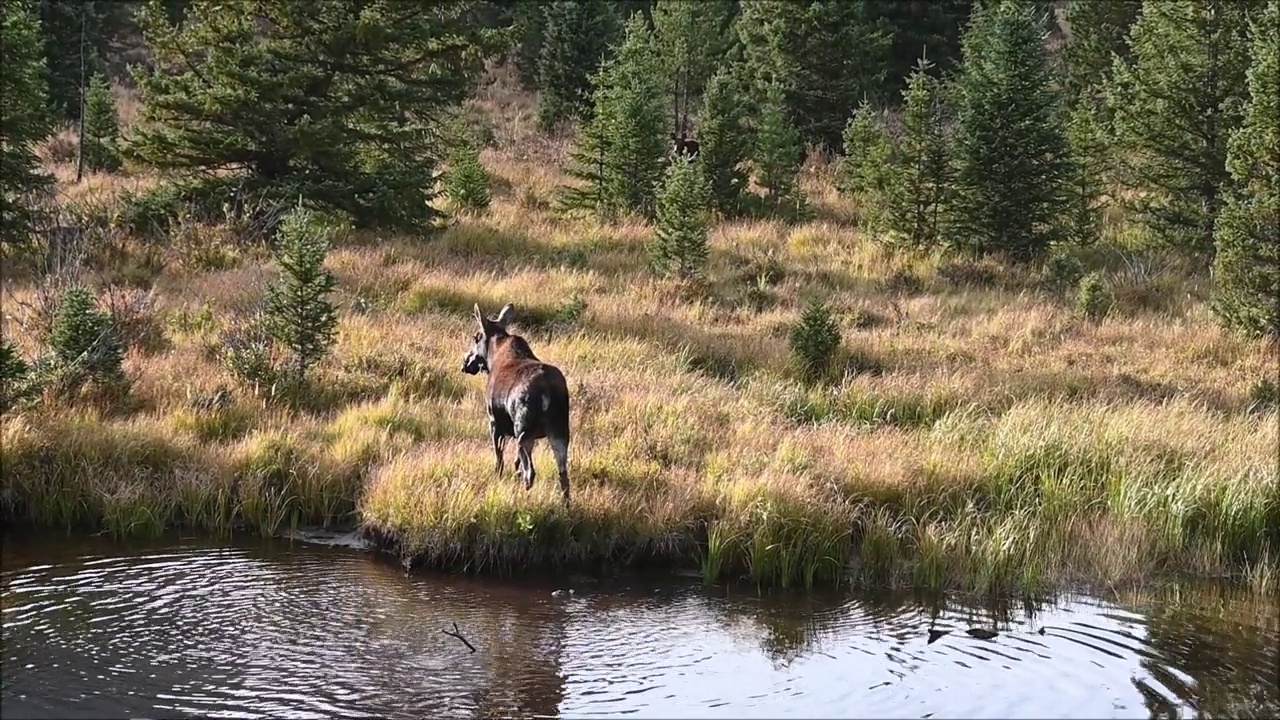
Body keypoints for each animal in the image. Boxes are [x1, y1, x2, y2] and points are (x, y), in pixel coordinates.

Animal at [458, 302, 573, 504]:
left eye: (476, 337)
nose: (465, 362)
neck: (493, 356)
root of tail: (548, 391)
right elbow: (514, 464)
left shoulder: (494, 422)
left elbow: (499, 460)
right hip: (559, 431)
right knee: (563, 474)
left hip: (524, 431)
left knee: (530, 472)